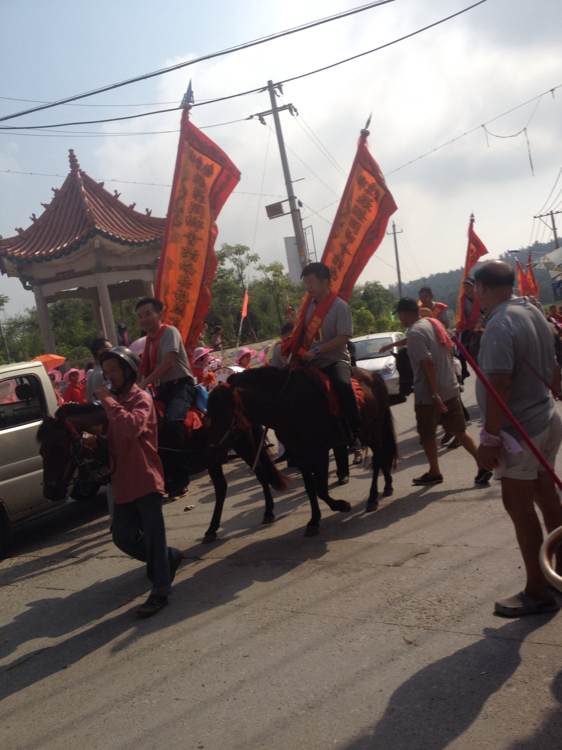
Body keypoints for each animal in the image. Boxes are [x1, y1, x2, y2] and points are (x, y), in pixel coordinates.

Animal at [37, 402, 287, 536]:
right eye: (41, 450)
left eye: (59, 447)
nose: (50, 491)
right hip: (214, 457)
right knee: (223, 488)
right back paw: (212, 529)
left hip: (244, 445)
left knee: (260, 474)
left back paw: (267, 512)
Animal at [207, 365, 397, 537]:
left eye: (223, 410)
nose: (213, 447)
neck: (287, 406)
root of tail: (374, 375)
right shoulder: (301, 455)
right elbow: (310, 488)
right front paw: (314, 521)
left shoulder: (320, 452)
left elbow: (321, 489)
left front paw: (342, 505)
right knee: (381, 456)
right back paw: (387, 485)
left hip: (372, 430)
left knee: (378, 458)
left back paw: (373, 498)